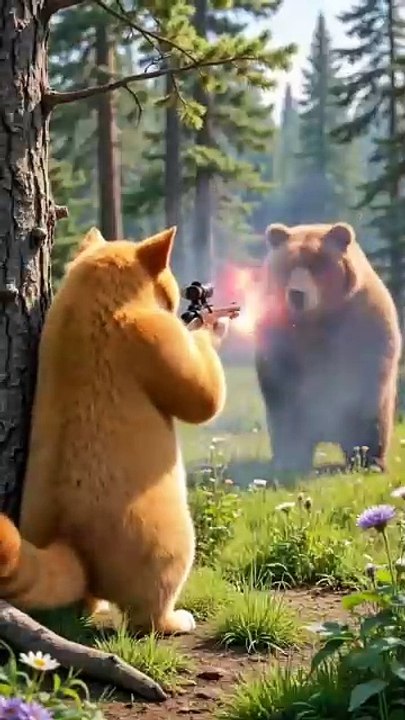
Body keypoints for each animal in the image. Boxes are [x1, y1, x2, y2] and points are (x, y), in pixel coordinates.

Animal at [0, 225, 228, 635]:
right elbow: (203, 396)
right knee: (147, 612)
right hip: (168, 543)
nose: (183, 299)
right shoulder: (155, 333)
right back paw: (175, 620)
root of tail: (70, 542)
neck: (91, 296)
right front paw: (212, 326)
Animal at [254, 222, 402, 476]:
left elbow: (363, 385)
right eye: (287, 266)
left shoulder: (360, 321)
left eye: (316, 265)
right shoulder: (282, 337)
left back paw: (371, 460)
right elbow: (283, 390)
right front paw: (291, 458)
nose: (297, 294)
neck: (316, 320)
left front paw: (365, 457)